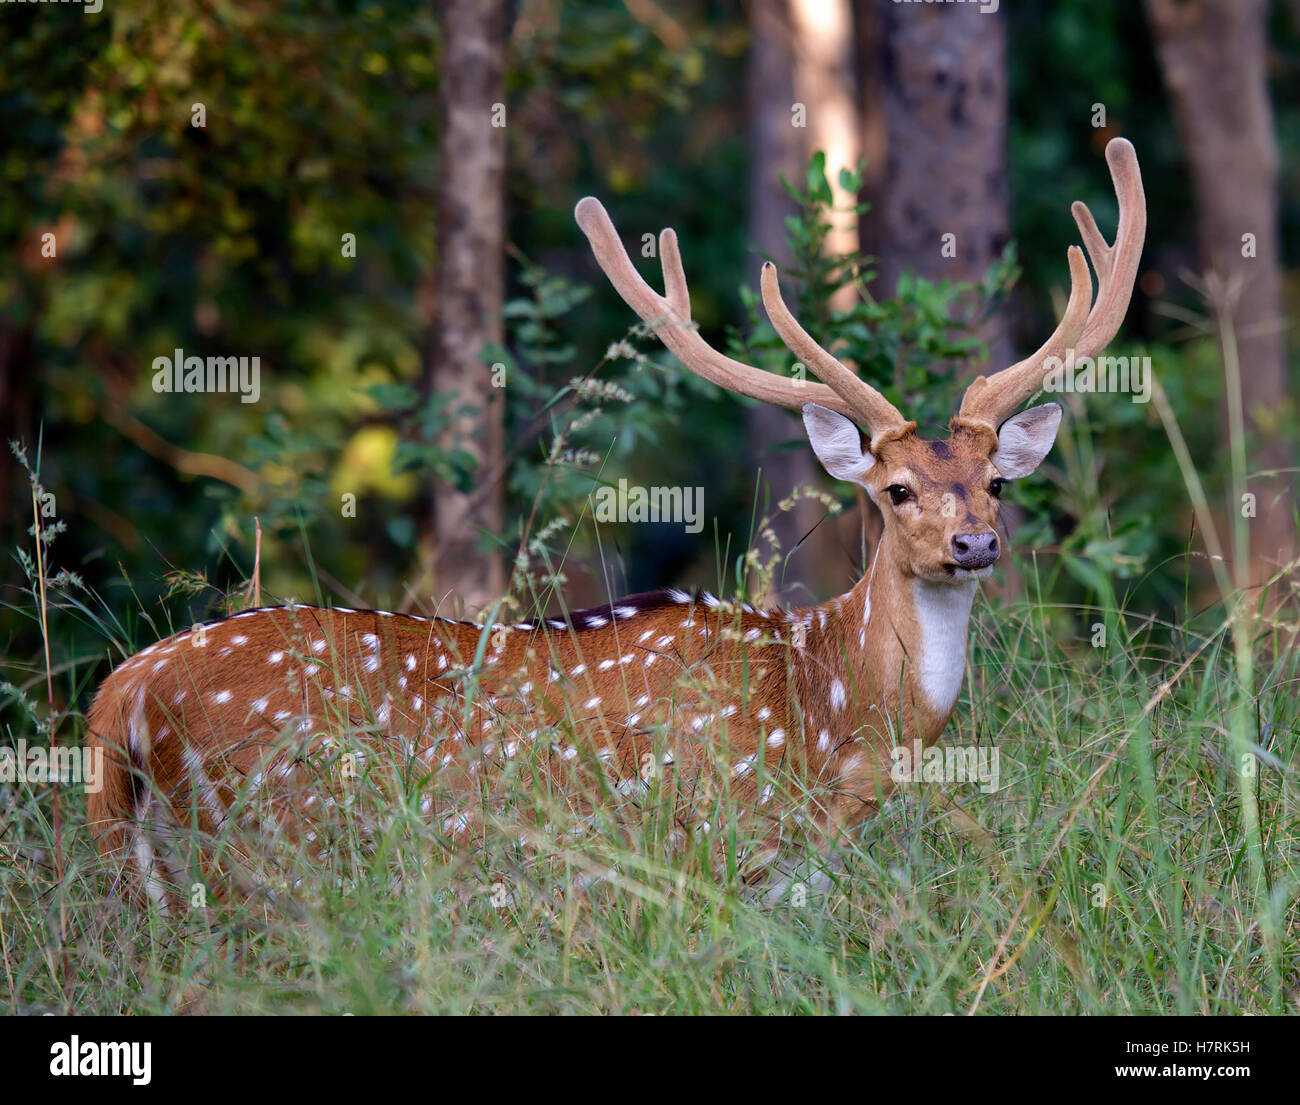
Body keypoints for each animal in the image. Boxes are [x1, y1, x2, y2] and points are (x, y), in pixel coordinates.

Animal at [91, 137, 1144, 904]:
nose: (975, 543)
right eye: (896, 491)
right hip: (272, 833)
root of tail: (119, 695)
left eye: (996, 482)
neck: (832, 722)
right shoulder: (706, 841)